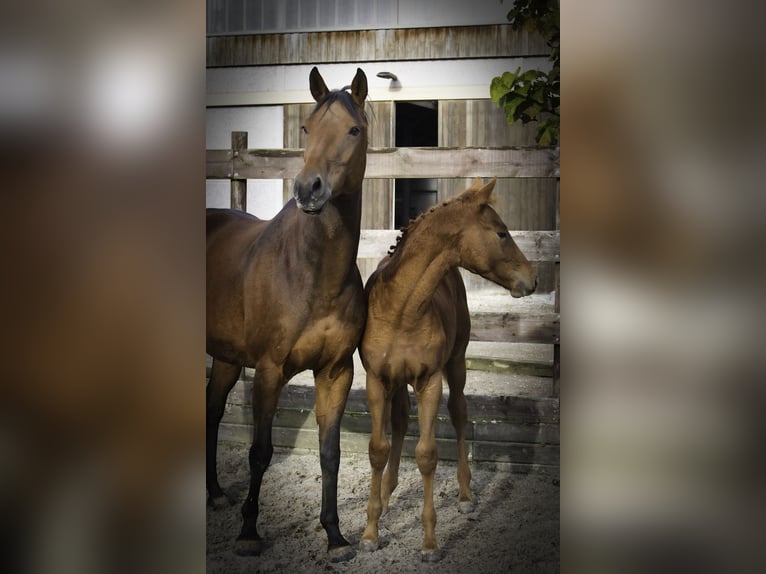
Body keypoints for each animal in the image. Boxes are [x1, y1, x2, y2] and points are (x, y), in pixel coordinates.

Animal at [207, 66, 368, 564]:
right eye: (306, 129)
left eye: (353, 129)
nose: (307, 189)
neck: (312, 274)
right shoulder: (270, 371)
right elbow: (260, 451)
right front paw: (248, 533)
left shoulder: (335, 371)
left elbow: (330, 453)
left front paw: (335, 536)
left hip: (225, 356)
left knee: (211, 410)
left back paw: (214, 494)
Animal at [362, 179, 536, 564]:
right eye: (501, 232)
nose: (532, 278)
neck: (402, 310)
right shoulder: (377, 381)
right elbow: (378, 448)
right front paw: (369, 533)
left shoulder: (429, 382)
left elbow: (427, 454)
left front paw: (429, 543)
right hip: (399, 383)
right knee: (400, 421)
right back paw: (387, 494)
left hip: (456, 366)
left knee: (459, 415)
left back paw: (466, 497)